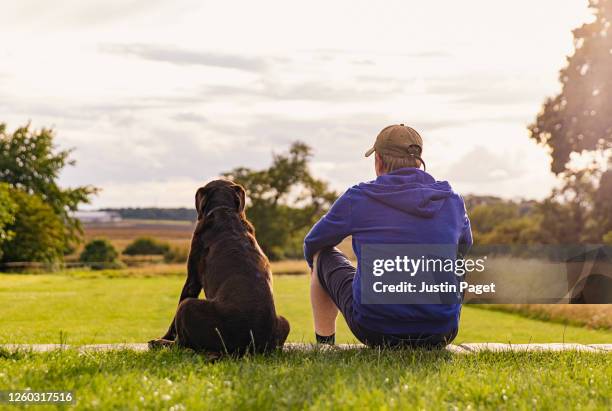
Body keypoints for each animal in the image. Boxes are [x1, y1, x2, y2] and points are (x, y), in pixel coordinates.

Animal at [149, 179, 290, 354]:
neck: (224, 210)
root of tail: (249, 346)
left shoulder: (192, 280)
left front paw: (163, 337)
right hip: (284, 321)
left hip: (188, 306)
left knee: (181, 343)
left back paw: (159, 343)